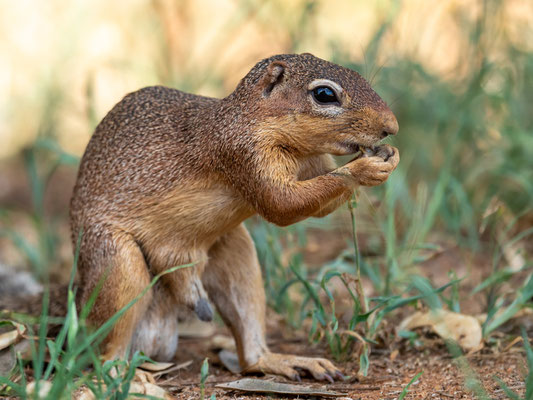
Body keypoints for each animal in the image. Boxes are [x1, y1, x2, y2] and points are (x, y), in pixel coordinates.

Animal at [70, 53, 396, 382]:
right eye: (324, 94)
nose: (391, 127)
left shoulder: (312, 162)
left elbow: (319, 203)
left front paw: (387, 158)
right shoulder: (243, 153)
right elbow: (283, 204)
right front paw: (364, 168)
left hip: (238, 255)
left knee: (249, 351)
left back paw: (285, 361)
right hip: (118, 265)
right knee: (105, 345)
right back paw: (122, 373)